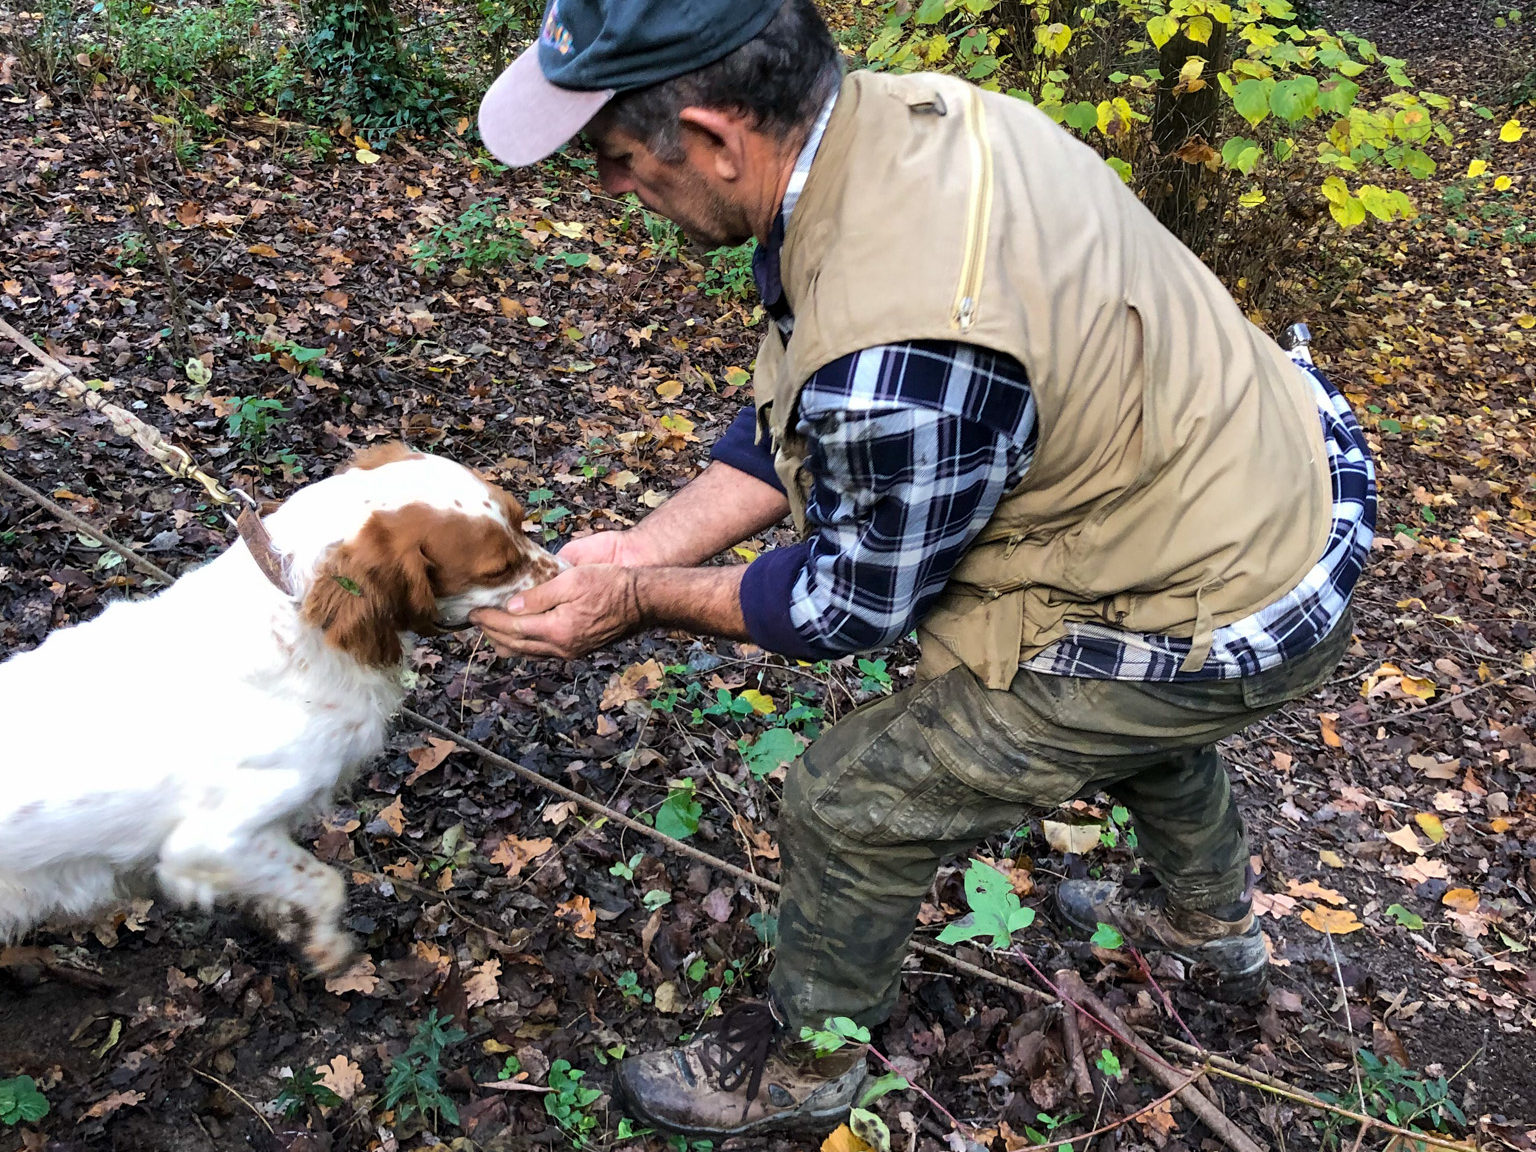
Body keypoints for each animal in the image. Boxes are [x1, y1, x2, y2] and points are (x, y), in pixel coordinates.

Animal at [0, 442, 559, 976]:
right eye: (498, 569)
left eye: (520, 521)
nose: (567, 572)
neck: (298, 619)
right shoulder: (208, 842)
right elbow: (325, 882)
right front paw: (326, 948)